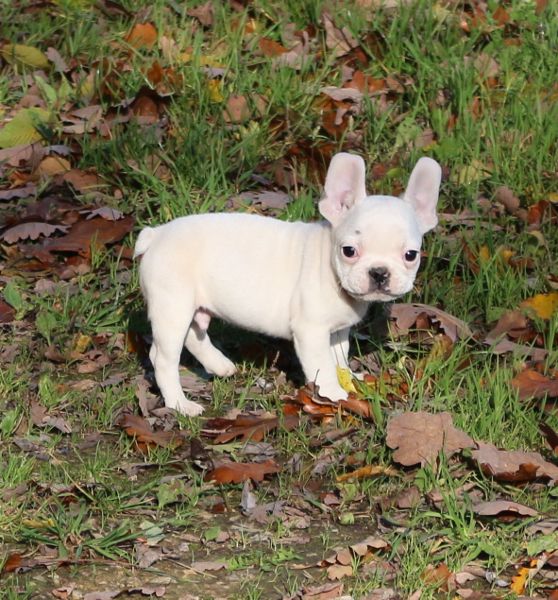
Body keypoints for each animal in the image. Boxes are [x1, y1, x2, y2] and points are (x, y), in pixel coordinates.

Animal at [134, 153, 441, 416]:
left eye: (410, 255)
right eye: (349, 251)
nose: (379, 273)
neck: (329, 264)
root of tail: (156, 234)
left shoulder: (336, 332)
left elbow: (339, 357)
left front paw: (350, 378)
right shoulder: (312, 332)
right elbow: (322, 366)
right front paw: (335, 394)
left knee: (193, 333)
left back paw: (219, 365)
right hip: (172, 305)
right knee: (163, 357)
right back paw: (180, 404)